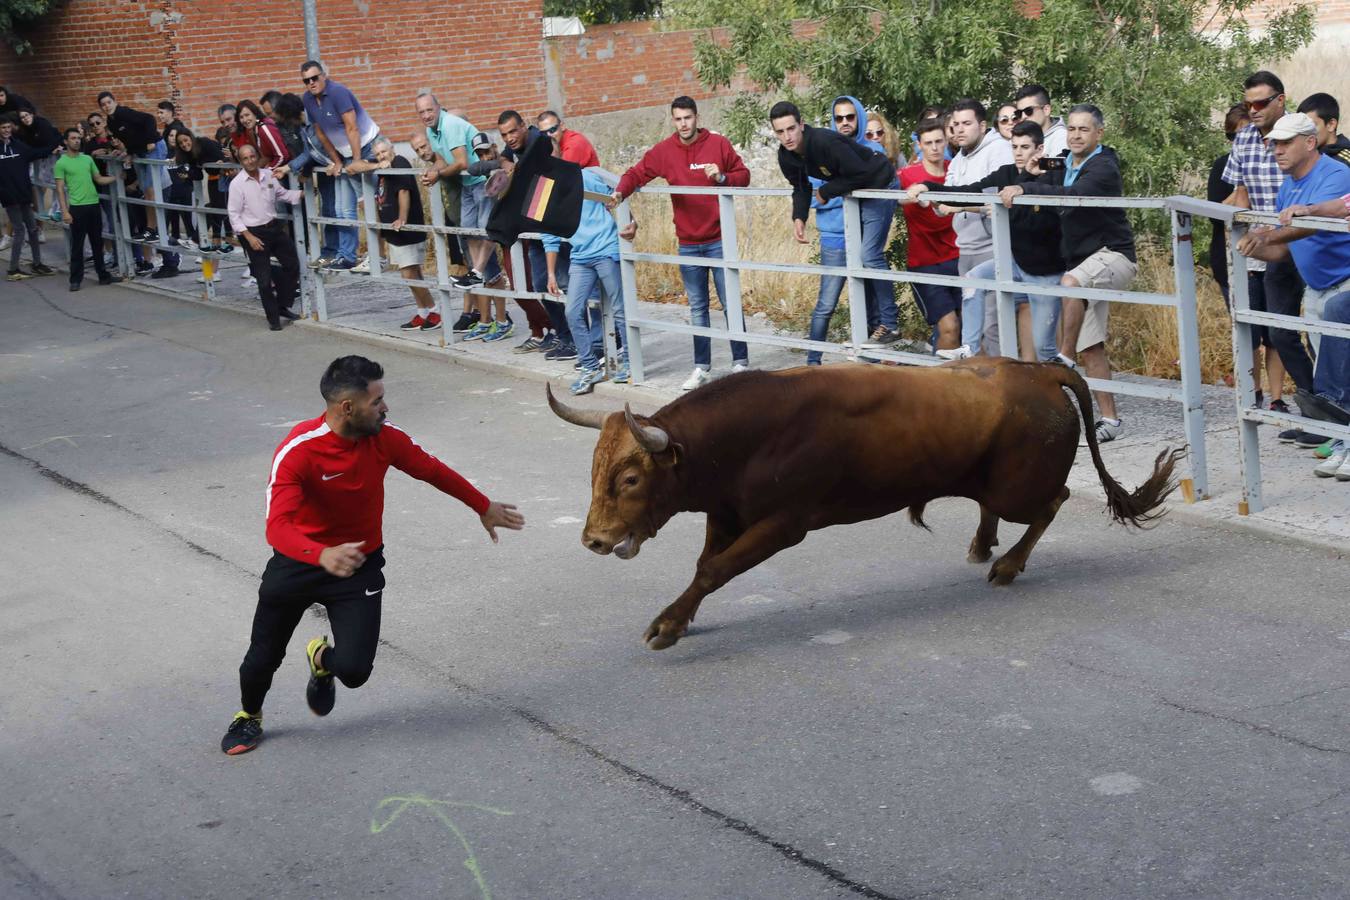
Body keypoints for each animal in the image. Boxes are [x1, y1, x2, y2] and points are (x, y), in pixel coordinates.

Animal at [548, 361, 1182, 655]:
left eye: (631, 477)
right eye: (594, 472)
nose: (594, 540)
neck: (748, 435)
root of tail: (1037, 369)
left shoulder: (784, 524)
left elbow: (714, 570)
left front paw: (668, 626)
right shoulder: (727, 515)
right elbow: (705, 567)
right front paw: (676, 619)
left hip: (1019, 488)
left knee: (1055, 499)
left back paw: (1007, 564)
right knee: (999, 507)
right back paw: (983, 546)